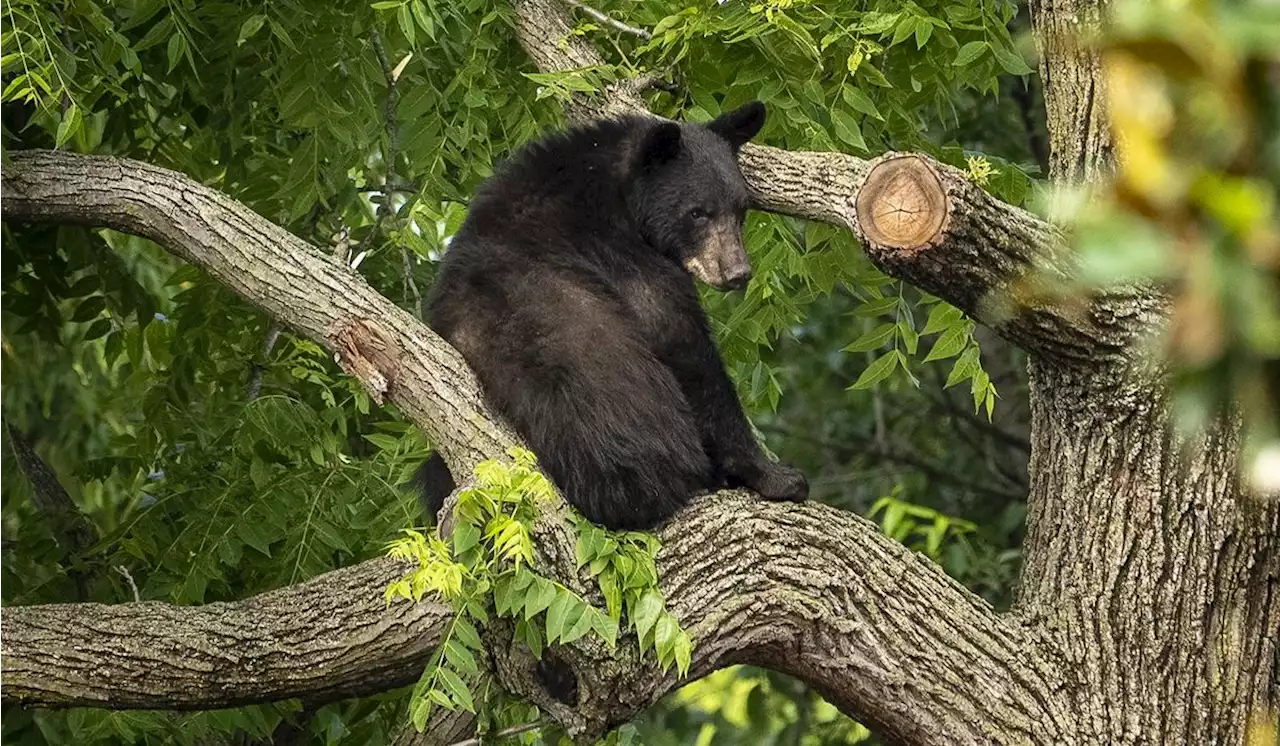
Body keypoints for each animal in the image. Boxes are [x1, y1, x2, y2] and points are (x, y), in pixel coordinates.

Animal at [414, 100, 803, 532]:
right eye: (698, 213)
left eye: (740, 211)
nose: (736, 272)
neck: (615, 194)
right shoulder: (624, 259)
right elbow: (686, 351)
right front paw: (776, 476)